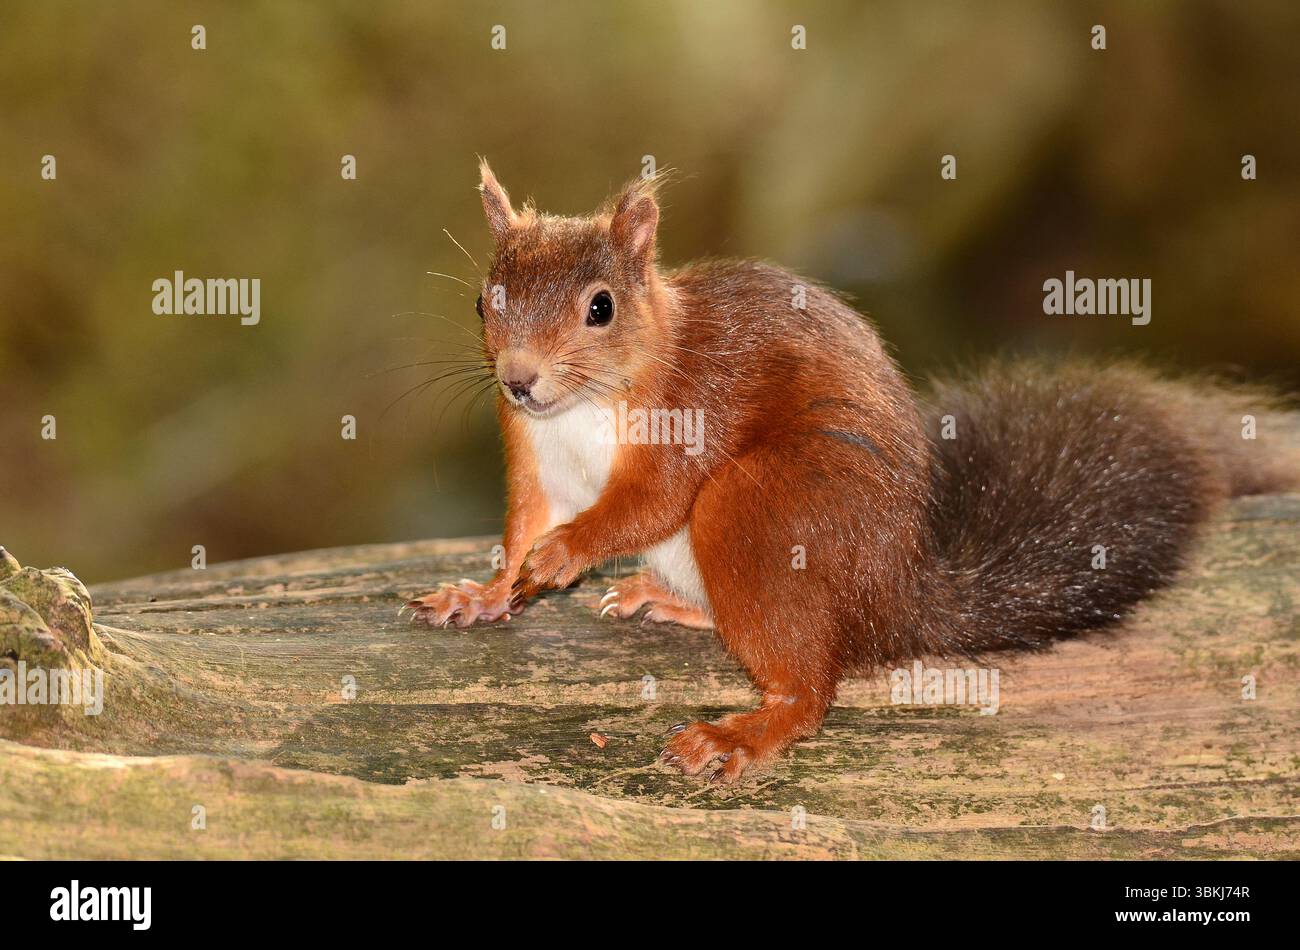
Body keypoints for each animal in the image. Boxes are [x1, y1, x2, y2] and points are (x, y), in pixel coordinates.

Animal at [406, 161, 1299, 782]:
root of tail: (898, 601)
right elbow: (522, 524)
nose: (519, 379)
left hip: (760, 509)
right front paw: (486, 592)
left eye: (601, 307)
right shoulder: (534, 457)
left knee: (808, 688)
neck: (581, 409)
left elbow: (646, 503)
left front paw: (564, 556)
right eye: (484, 302)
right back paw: (663, 599)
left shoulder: (693, 410)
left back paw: (743, 729)